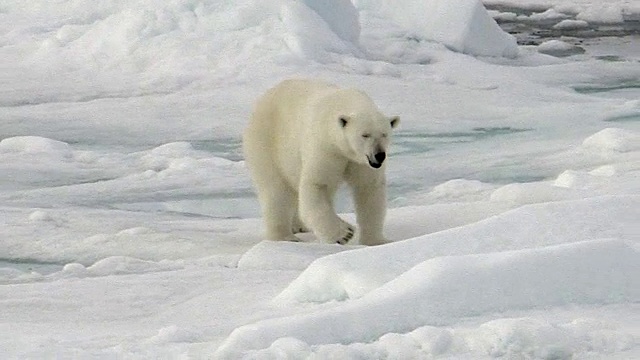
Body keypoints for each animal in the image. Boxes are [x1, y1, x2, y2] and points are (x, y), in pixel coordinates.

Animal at [242, 79, 398, 245]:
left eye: (384, 134)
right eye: (365, 135)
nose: (379, 155)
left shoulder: (360, 162)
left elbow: (368, 189)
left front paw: (376, 241)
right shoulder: (325, 148)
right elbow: (317, 184)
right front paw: (345, 234)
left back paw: (298, 226)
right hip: (266, 142)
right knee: (276, 190)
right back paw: (284, 237)